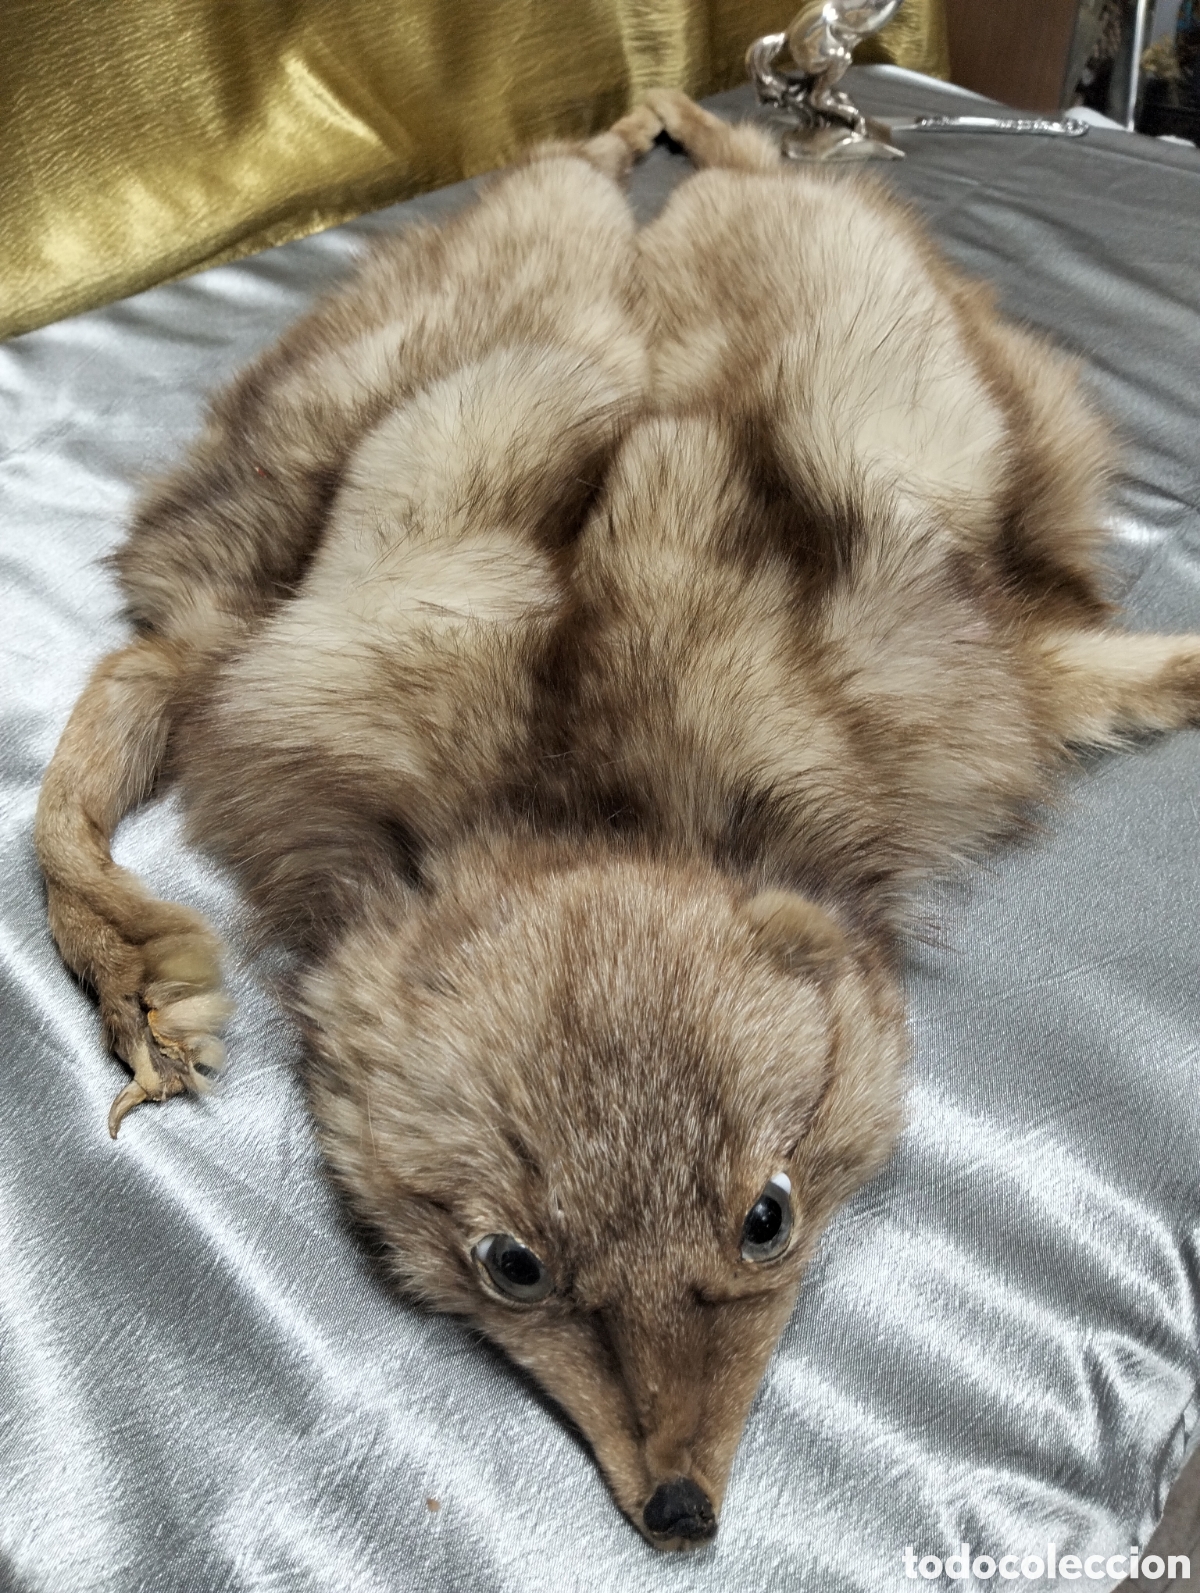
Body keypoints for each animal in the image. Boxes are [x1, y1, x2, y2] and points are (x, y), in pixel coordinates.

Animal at [33, 88, 1200, 1549]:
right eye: (513, 1265)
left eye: (769, 1219)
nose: (682, 1513)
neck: (588, 791)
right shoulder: (213, 658)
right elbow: (62, 821)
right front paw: (143, 983)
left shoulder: (995, 669)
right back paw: (660, 113)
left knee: (721, 160)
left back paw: (684, 112)